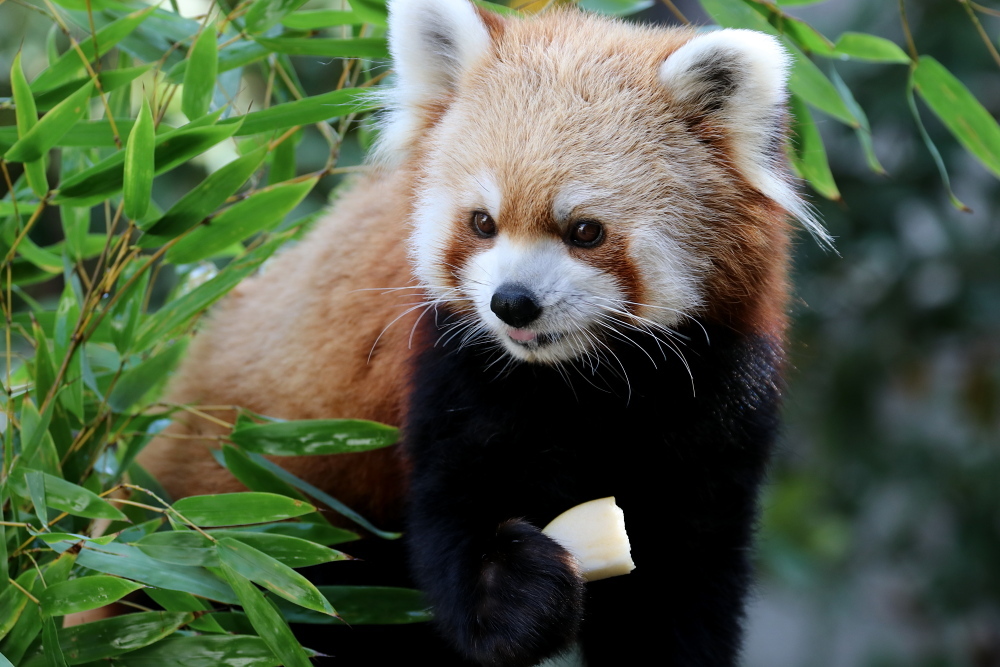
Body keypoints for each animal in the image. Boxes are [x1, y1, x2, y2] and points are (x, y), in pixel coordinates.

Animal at [141, 2, 828, 664]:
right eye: (482, 223)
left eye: (585, 231)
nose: (512, 304)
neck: (589, 379)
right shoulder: (449, 365)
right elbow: (454, 510)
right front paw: (514, 593)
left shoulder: (716, 396)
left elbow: (682, 577)